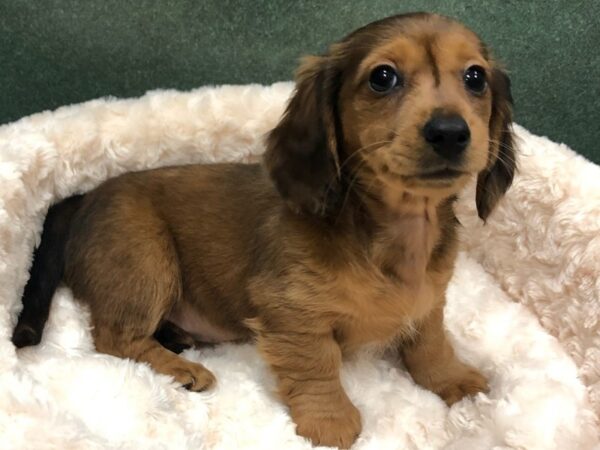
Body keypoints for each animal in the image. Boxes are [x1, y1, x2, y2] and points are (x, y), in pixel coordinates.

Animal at [12, 12, 516, 448]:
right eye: (383, 77)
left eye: (475, 77)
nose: (450, 132)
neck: (394, 230)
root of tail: (83, 199)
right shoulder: (292, 312)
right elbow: (317, 365)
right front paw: (330, 420)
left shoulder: (429, 300)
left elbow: (430, 343)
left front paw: (452, 381)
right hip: (144, 258)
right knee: (113, 338)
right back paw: (179, 370)